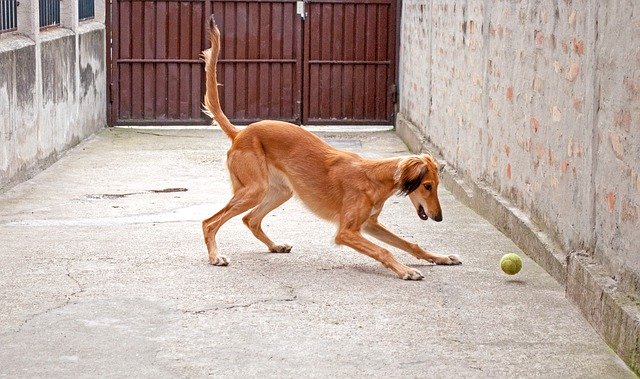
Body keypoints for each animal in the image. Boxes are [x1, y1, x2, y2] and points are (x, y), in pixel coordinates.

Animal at [200, 14, 460, 280]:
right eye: (427, 186)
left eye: (436, 185)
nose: (439, 218)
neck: (376, 178)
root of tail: (240, 132)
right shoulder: (346, 232)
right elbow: (385, 251)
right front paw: (405, 271)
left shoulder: (370, 224)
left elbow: (410, 244)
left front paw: (440, 258)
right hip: (254, 189)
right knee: (209, 222)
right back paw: (215, 256)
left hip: (281, 191)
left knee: (250, 219)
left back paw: (275, 246)